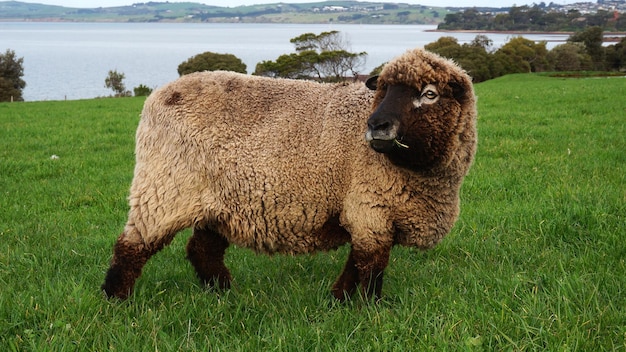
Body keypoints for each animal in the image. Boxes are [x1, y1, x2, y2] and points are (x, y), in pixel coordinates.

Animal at [101, 48, 472, 302]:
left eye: (429, 94)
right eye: (380, 90)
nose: (376, 125)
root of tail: (158, 95)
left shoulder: (370, 214)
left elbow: (358, 262)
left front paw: (339, 300)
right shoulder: (370, 209)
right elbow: (371, 266)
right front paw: (368, 308)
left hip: (219, 201)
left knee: (201, 250)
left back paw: (225, 293)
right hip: (165, 188)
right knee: (131, 245)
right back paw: (115, 298)